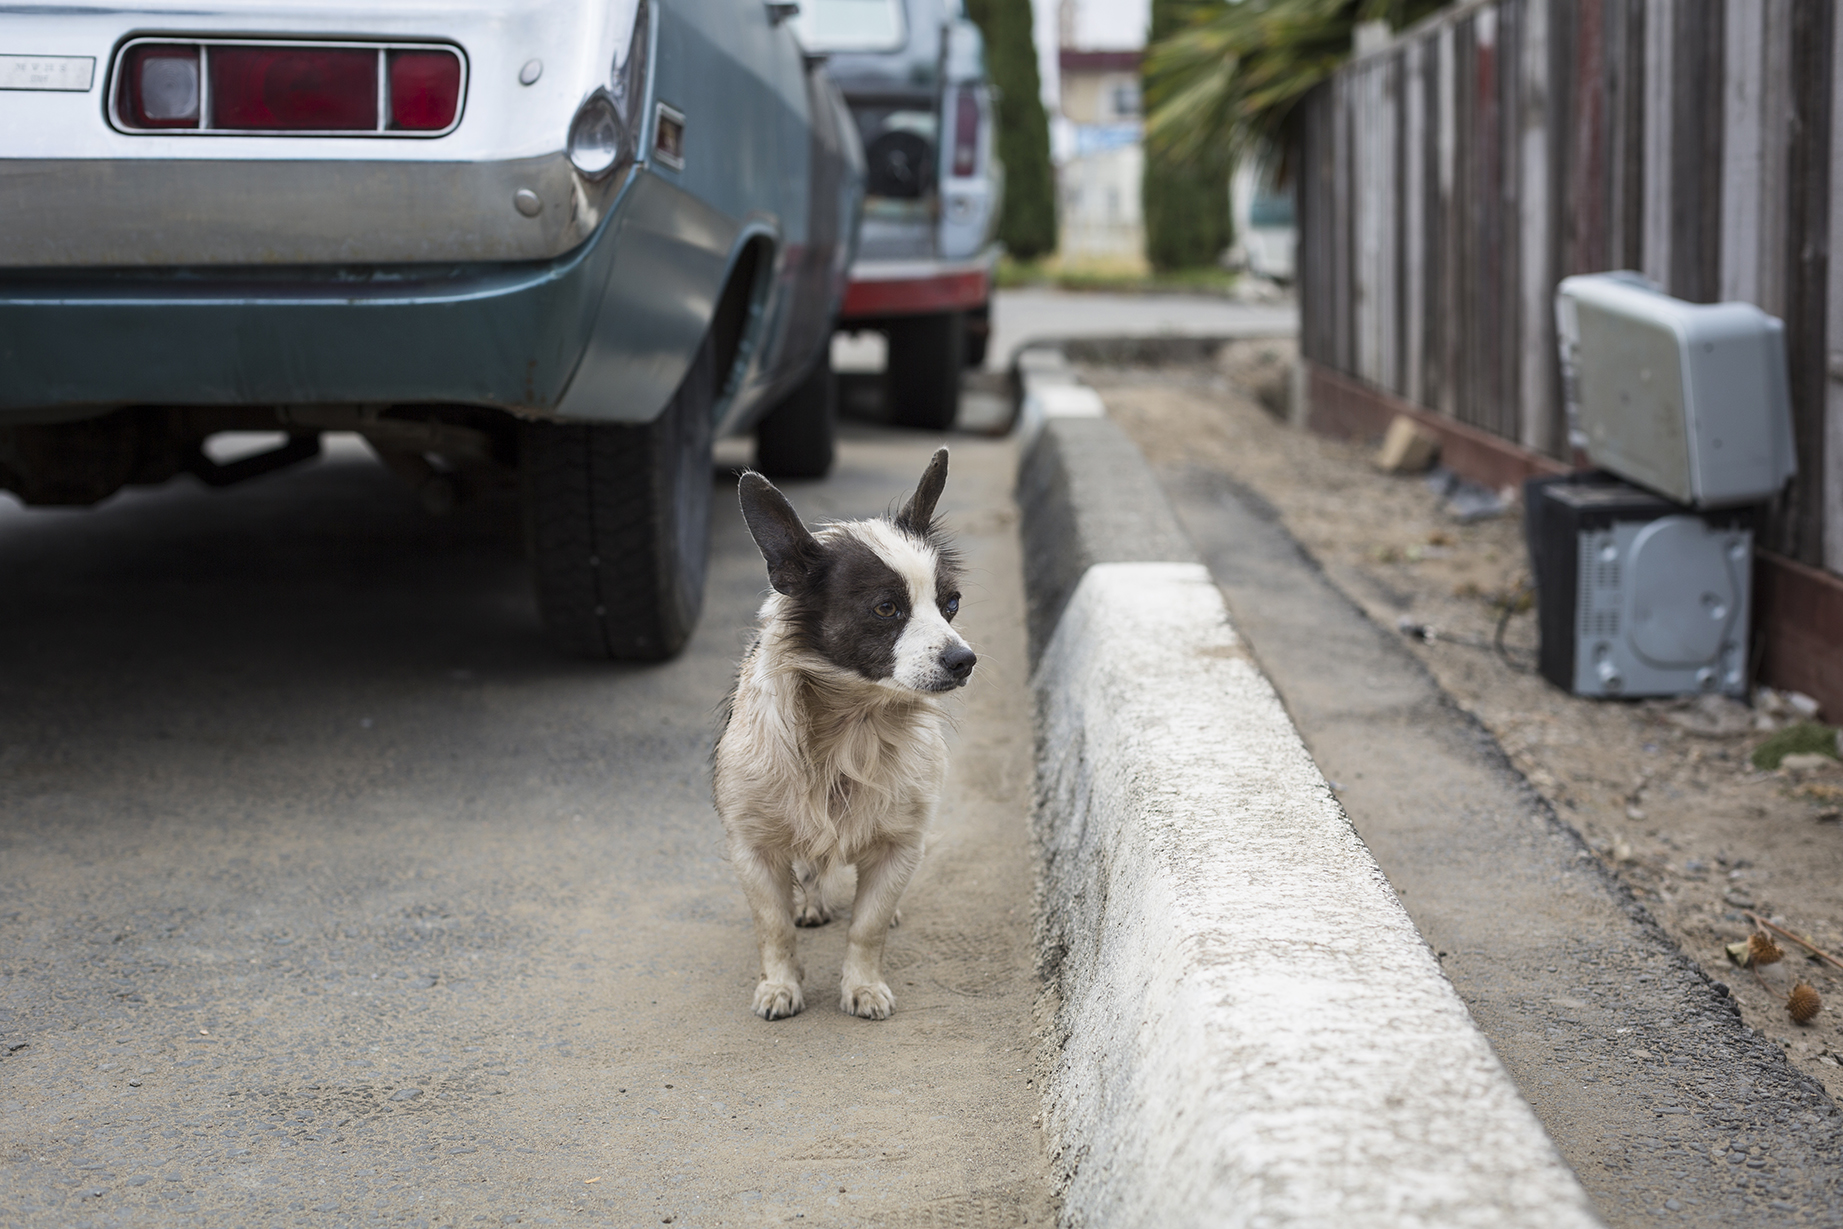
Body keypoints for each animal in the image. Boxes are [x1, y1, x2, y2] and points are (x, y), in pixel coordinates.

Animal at [715, 449, 980, 1017]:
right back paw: (810, 905)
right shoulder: (753, 849)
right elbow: (773, 927)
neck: (853, 726)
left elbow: (867, 926)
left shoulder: (900, 845)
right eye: (886, 608)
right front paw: (779, 985)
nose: (964, 659)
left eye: (950, 604)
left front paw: (862, 985)